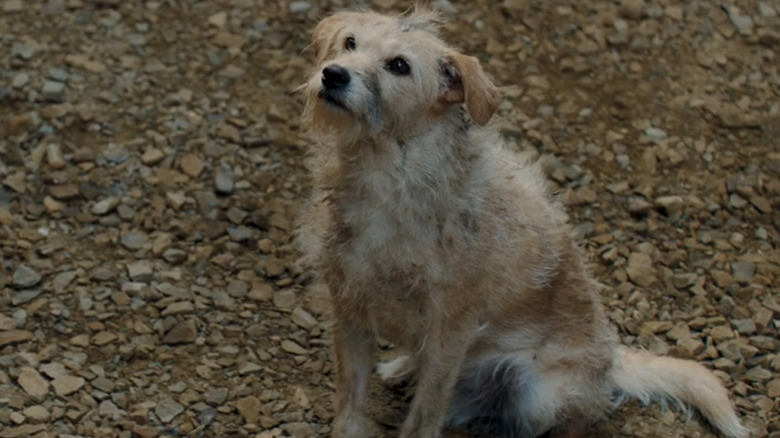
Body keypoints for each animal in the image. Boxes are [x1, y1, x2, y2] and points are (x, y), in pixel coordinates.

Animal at [296, 6, 748, 438]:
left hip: (539, 395)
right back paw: (402, 367)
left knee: (577, 418)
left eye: (399, 65)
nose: (333, 74)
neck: (389, 169)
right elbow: (350, 401)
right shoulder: (349, 306)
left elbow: (425, 413)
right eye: (350, 42)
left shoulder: (450, 327)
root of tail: (611, 363)